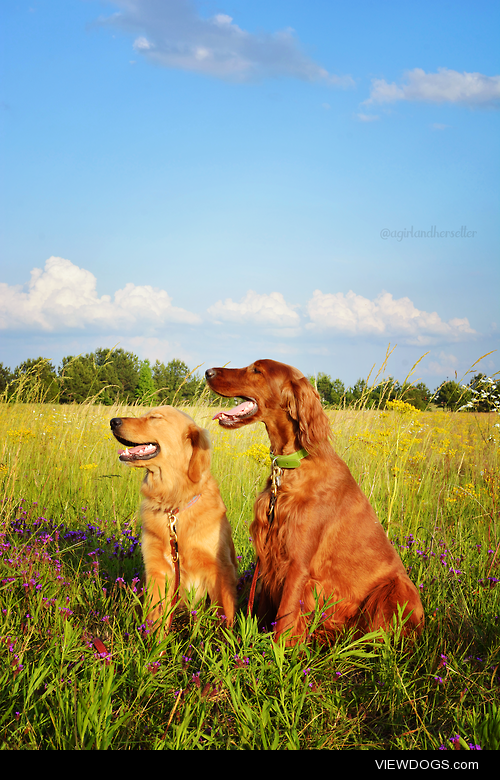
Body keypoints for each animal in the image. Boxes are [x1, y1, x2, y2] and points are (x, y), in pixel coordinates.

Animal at [111, 406, 238, 632]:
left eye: (155, 418)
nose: (113, 421)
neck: (173, 505)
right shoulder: (158, 570)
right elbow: (155, 619)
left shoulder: (220, 570)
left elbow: (224, 616)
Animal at [205, 360, 424, 644]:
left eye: (257, 370)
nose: (207, 372)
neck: (292, 465)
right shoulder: (269, 553)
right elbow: (262, 610)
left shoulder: (297, 563)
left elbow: (285, 618)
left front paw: (276, 652)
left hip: (394, 589)